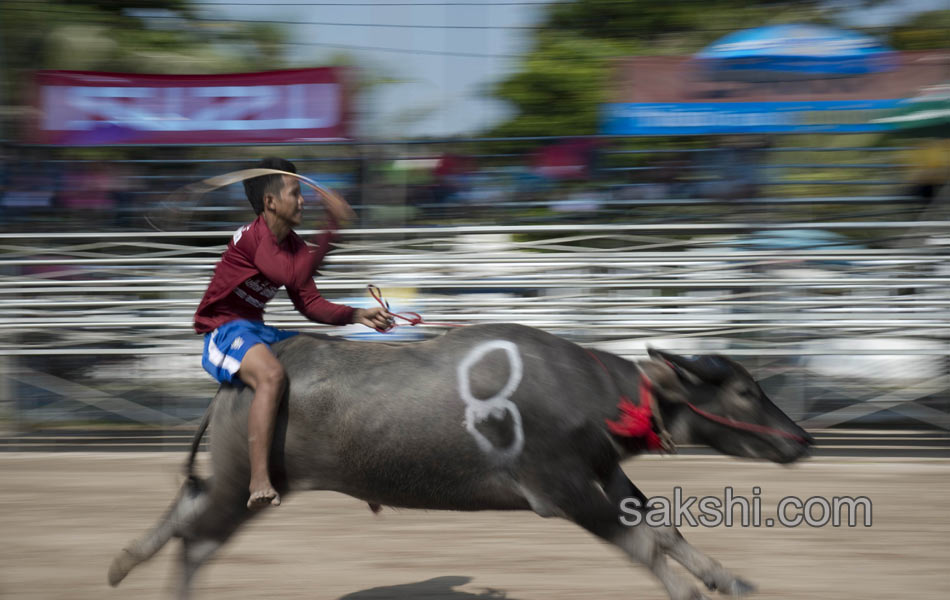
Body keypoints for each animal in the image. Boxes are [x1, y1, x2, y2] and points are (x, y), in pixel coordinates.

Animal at [108, 324, 816, 600]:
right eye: (744, 390)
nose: (801, 440)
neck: (589, 396)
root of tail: (238, 378)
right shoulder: (562, 491)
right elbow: (641, 543)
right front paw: (690, 590)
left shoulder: (605, 472)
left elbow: (662, 527)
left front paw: (728, 578)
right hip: (246, 488)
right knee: (197, 541)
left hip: (234, 484)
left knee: (185, 511)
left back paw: (121, 562)